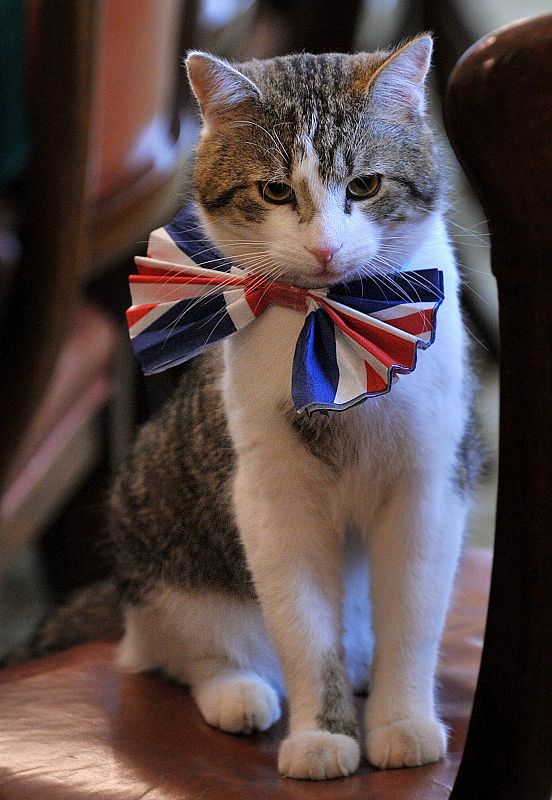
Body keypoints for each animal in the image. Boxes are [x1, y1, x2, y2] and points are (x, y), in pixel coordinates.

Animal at [5, 37, 478, 780]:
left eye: (365, 186)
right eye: (275, 191)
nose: (324, 248)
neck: (329, 326)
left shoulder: (429, 484)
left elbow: (413, 620)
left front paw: (400, 722)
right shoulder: (270, 496)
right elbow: (306, 634)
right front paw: (322, 735)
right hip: (162, 536)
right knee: (175, 652)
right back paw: (236, 689)